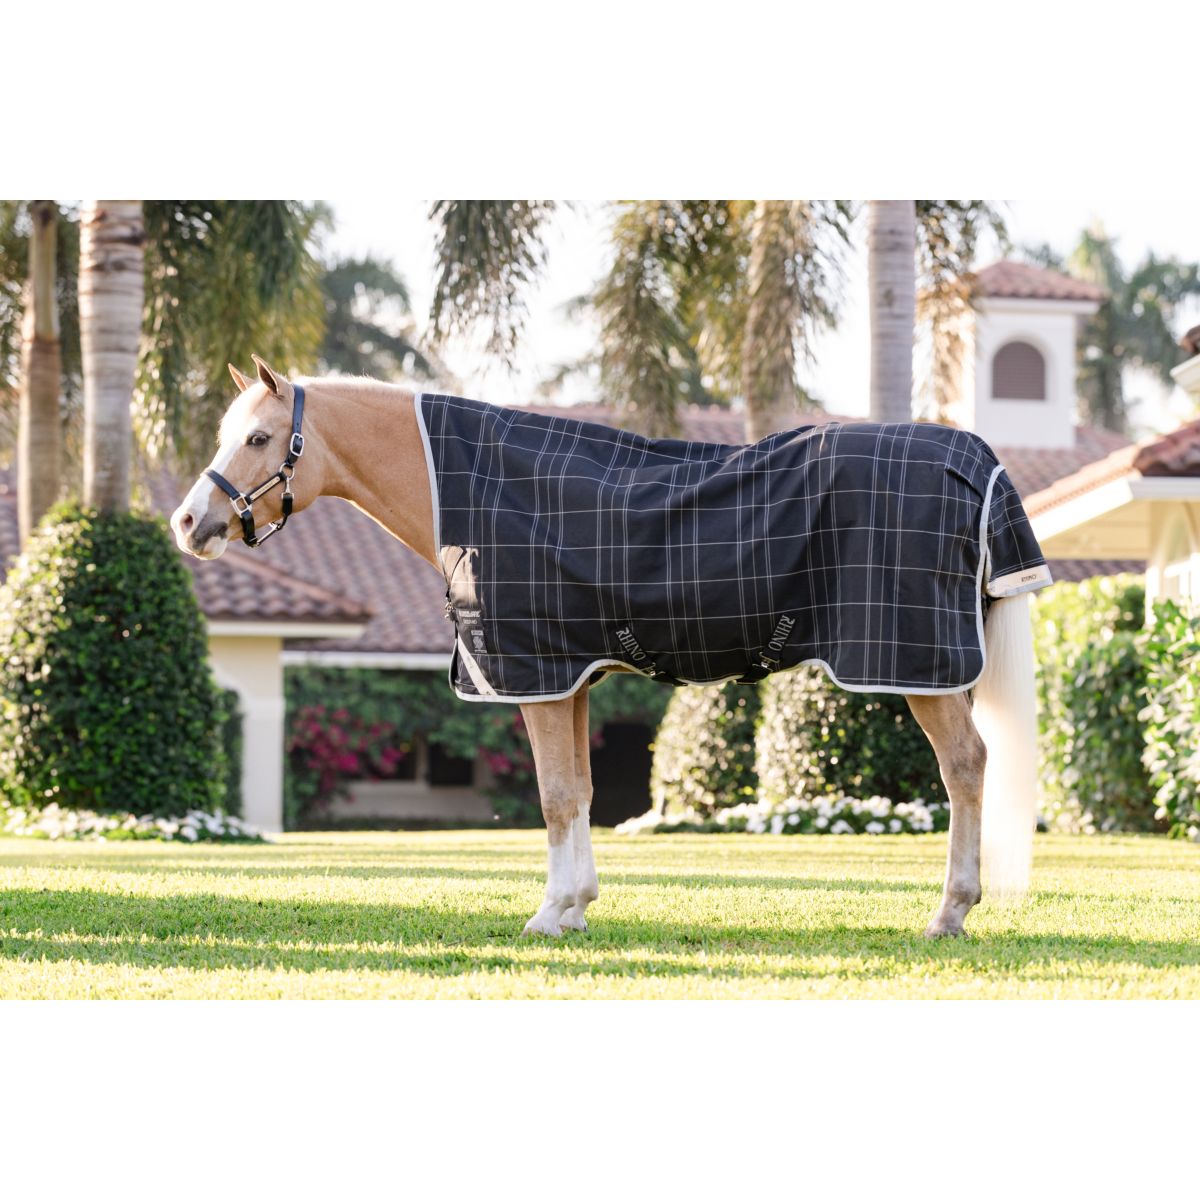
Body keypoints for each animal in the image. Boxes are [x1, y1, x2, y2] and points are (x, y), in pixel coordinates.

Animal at [172, 355, 1043, 939]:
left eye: (258, 437)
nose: (187, 523)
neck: (472, 488)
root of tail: (975, 460)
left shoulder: (534, 674)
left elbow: (556, 796)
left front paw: (550, 914)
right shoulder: (574, 678)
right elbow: (581, 792)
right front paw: (577, 907)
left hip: (921, 666)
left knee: (965, 766)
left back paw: (949, 912)